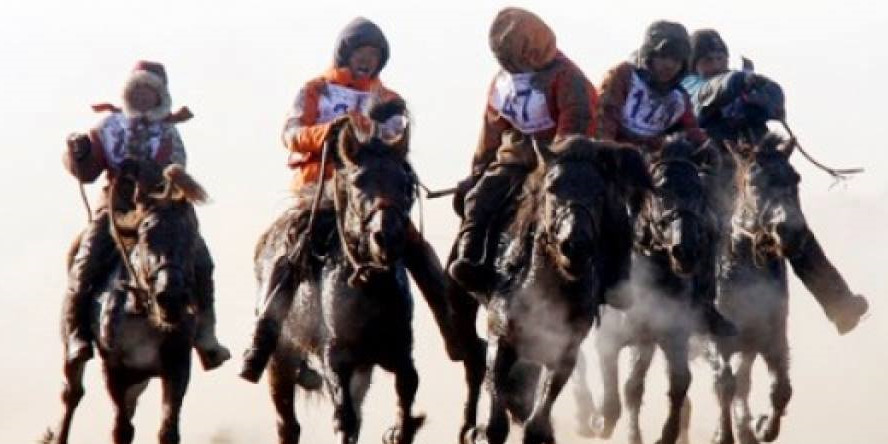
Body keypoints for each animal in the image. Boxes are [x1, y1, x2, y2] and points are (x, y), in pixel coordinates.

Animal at [50, 162, 211, 444]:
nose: (171, 297)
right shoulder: (115, 369)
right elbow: (121, 429)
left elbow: (168, 430)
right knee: (71, 394)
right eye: (146, 235)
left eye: (191, 236)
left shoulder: (177, 365)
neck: (140, 312)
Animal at [254, 99, 426, 444]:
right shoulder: (336, 356)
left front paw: (399, 430)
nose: (388, 236)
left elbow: (408, 385)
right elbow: (343, 417)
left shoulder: (397, 351)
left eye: (404, 182)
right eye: (358, 182)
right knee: (287, 424)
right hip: (281, 357)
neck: (369, 286)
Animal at [463, 136, 651, 444]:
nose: (575, 245)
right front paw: (479, 430)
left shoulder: (564, 349)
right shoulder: (500, 334)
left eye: (600, 194)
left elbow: (536, 424)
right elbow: (495, 420)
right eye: (552, 188)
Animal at [573, 138, 718, 444]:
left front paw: (665, 435)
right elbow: (616, 389)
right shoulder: (610, 336)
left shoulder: (664, 334)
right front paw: (602, 421)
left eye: (699, 191)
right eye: (660, 191)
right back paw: (583, 412)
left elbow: (672, 382)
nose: (685, 251)